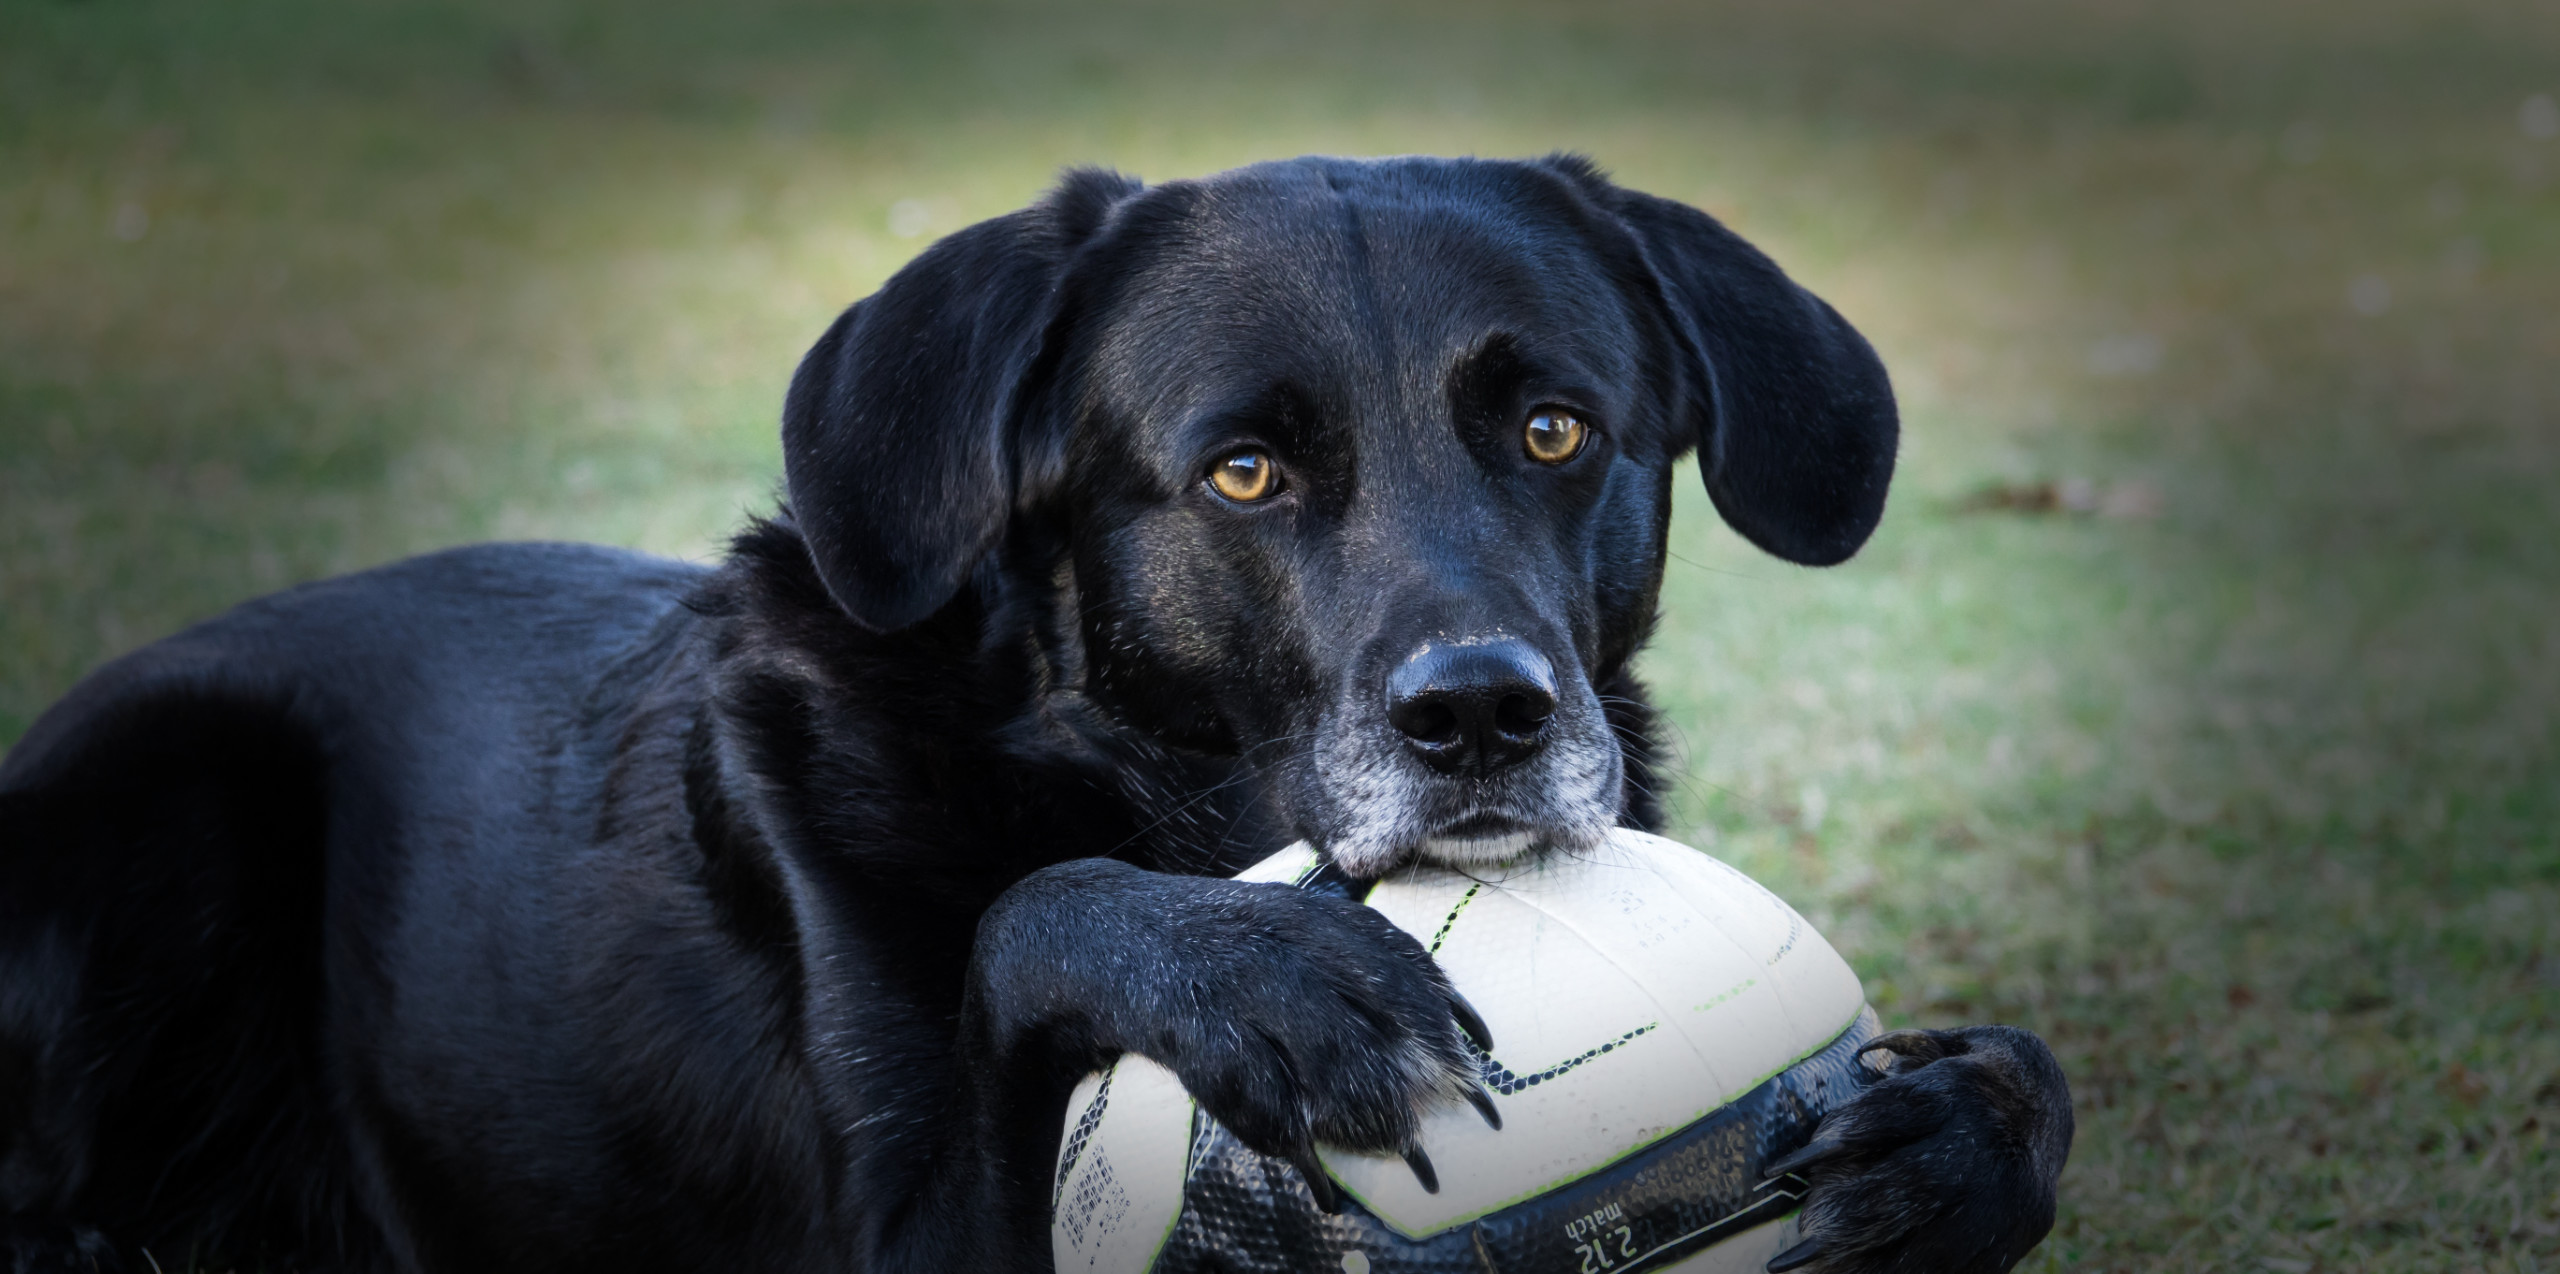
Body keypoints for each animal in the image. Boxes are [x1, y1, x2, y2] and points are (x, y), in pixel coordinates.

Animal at [0, 154, 2068, 1268]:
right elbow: (1028, 907)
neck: (1142, 785)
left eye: (1558, 429)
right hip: (163, 789)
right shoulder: (911, 1219)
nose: (1482, 715)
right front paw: (1277, 979)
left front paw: (1954, 1131)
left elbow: (2026, 1084)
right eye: (1242, 471)